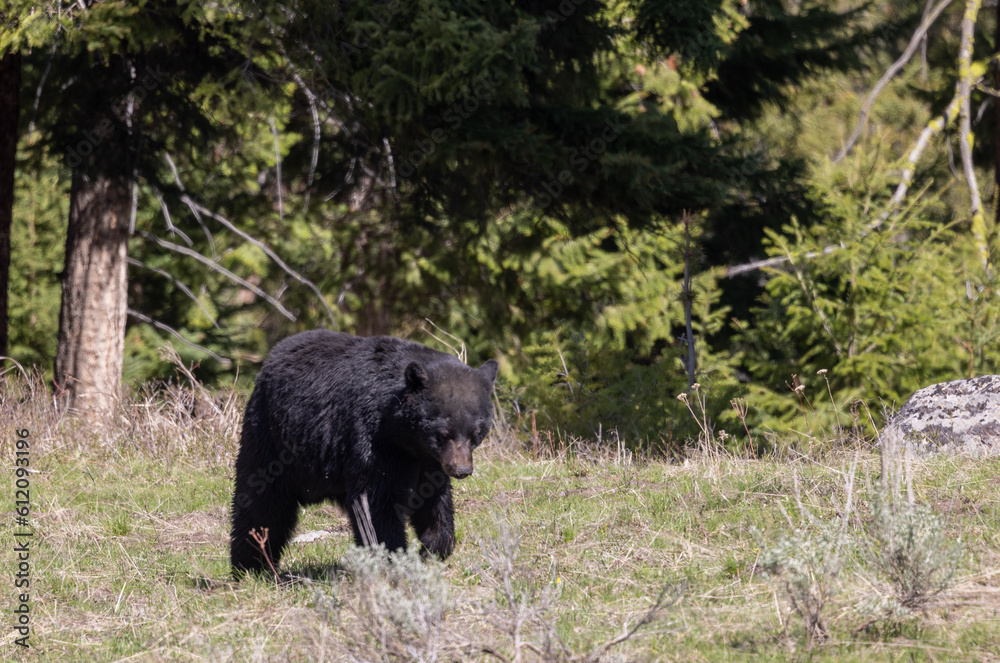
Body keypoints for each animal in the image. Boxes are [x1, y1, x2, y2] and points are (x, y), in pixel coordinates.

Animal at [233, 332, 500, 576]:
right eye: (444, 433)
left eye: (477, 432)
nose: (462, 470)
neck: (404, 435)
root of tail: (274, 353)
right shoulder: (373, 440)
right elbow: (376, 501)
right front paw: (392, 555)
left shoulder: (428, 460)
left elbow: (433, 498)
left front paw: (433, 548)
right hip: (270, 435)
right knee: (261, 501)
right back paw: (250, 565)